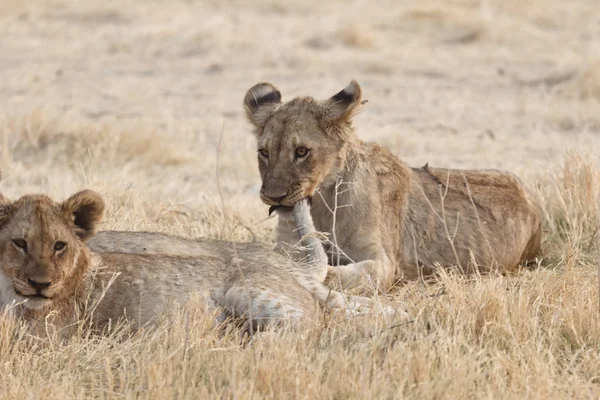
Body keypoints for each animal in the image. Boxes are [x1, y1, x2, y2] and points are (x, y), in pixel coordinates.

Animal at [241, 79, 540, 290]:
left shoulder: (385, 263)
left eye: (302, 151)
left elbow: (342, 276)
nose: (274, 196)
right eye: (264, 152)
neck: (324, 203)